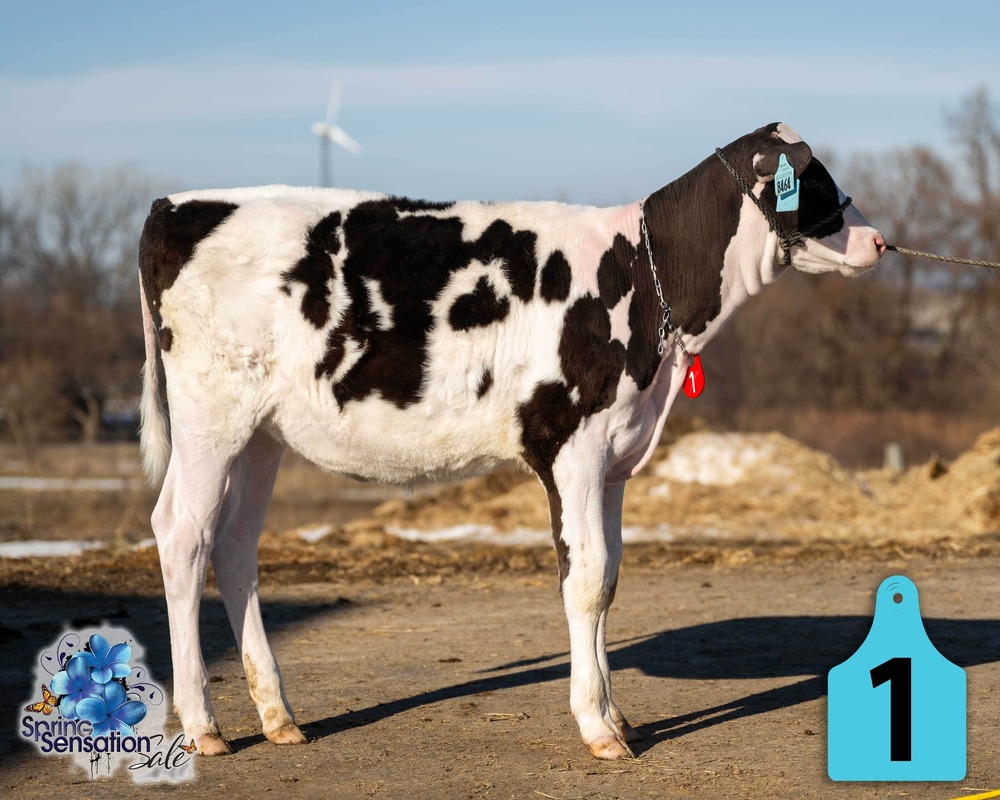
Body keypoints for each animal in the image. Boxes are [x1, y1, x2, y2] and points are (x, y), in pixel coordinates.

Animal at [138, 122, 886, 760]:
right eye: (813, 180)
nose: (879, 240)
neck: (644, 281)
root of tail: (177, 204)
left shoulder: (615, 456)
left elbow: (609, 576)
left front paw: (617, 715)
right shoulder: (571, 444)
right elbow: (585, 579)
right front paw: (598, 727)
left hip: (262, 435)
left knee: (235, 544)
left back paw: (279, 717)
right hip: (211, 417)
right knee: (182, 533)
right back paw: (204, 726)